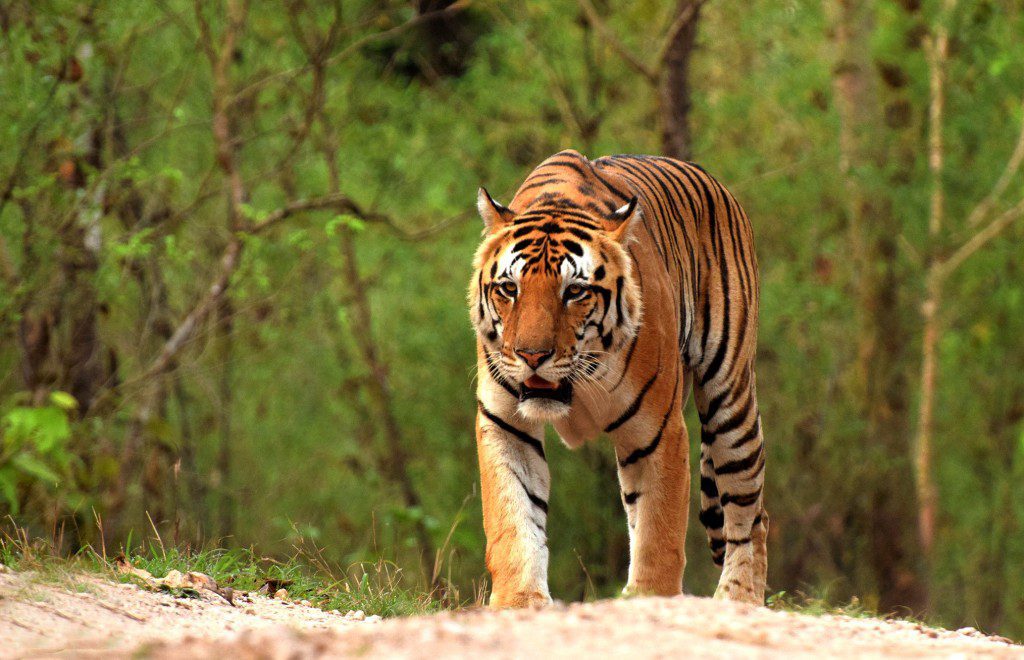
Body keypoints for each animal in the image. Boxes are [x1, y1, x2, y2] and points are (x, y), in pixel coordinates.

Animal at [468, 149, 765, 605]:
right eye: (509, 288)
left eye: (574, 291)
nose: (532, 355)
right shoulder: (505, 423)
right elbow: (513, 519)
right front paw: (519, 601)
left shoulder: (658, 431)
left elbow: (660, 530)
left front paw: (649, 598)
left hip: (730, 401)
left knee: (750, 514)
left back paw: (739, 599)